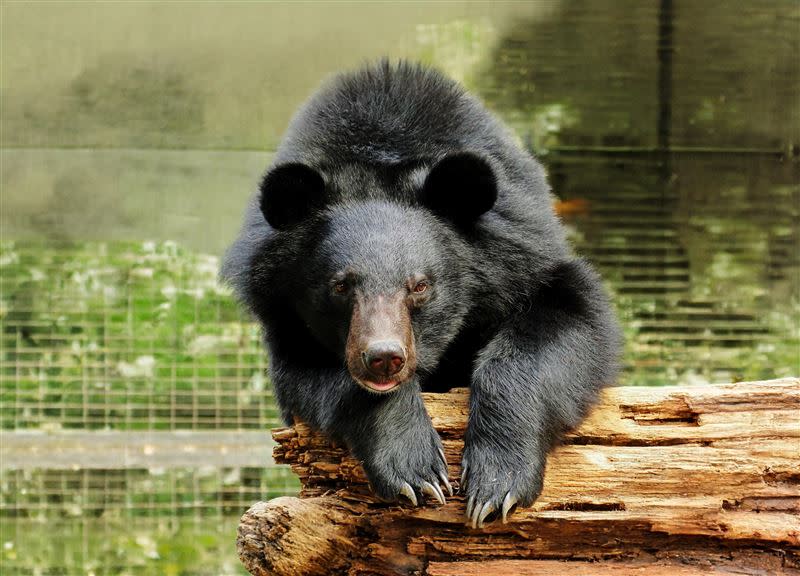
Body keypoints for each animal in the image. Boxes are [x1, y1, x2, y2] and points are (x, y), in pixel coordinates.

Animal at [222, 60, 620, 528]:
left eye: (420, 285)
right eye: (340, 286)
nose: (383, 357)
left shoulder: (525, 256)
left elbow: (564, 328)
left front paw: (497, 487)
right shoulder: (283, 317)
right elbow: (314, 378)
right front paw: (416, 473)